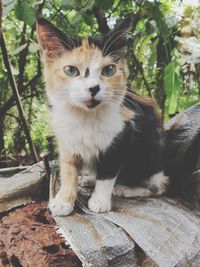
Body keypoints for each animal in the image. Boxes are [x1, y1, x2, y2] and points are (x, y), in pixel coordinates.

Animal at [36, 13, 170, 217]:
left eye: (109, 70)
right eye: (71, 70)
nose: (93, 88)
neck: (86, 115)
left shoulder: (123, 133)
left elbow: (108, 173)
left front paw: (99, 201)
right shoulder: (65, 137)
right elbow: (68, 169)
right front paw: (63, 200)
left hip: (149, 155)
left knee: (158, 187)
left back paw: (126, 189)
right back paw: (89, 179)